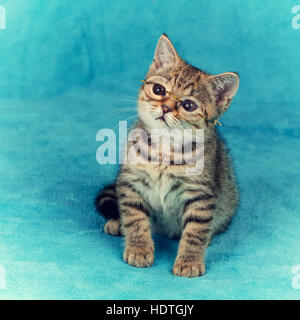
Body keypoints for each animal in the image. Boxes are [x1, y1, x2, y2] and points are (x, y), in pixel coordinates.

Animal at [96, 33, 239, 276]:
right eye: (159, 90)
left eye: (188, 105)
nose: (166, 108)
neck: (164, 148)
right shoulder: (131, 182)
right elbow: (134, 217)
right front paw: (139, 248)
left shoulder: (201, 195)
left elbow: (196, 231)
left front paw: (189, 261)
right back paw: (118, 223)